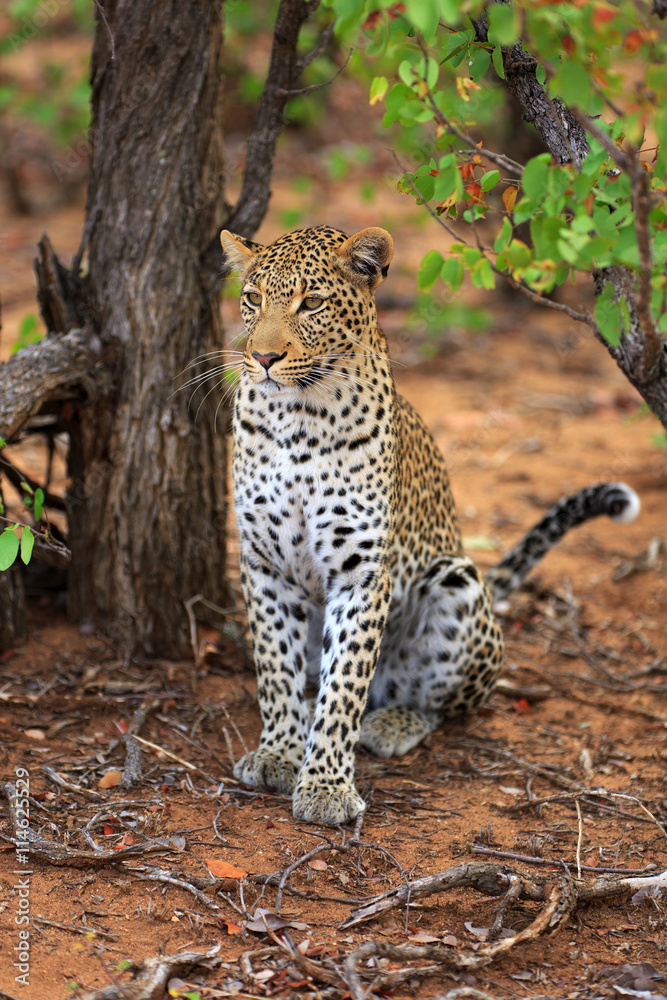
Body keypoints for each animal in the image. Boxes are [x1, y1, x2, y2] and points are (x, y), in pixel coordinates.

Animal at [219, 224, 640, 827]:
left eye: (312, 303)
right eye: (252, 299)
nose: (263, 357)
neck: (297, 418)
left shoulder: (361, 571)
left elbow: (345, 686)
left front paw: (326, 787)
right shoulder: (263, 562)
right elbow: (275, 667)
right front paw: (278, 753)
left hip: (457, 582)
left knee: (440, 702)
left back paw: (393, 722)